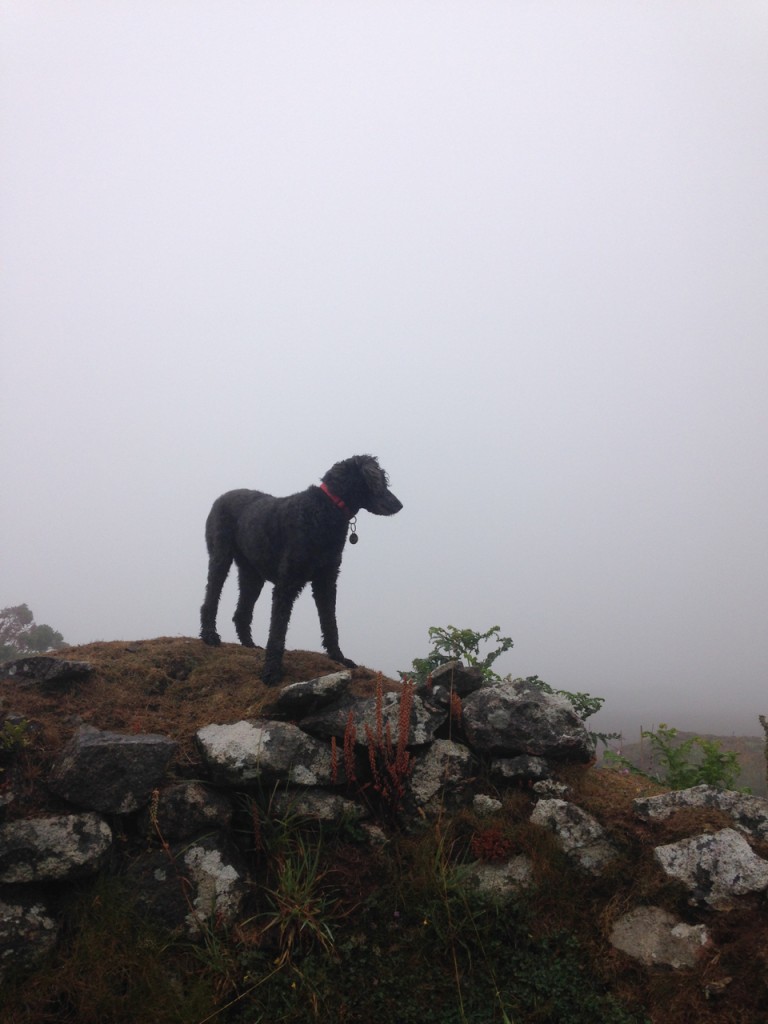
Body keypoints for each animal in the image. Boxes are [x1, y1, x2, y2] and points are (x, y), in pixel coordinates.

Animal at [198, 454, 403, 679]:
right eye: (381, 480)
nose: (399, 505)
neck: (326, 509)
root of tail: (221, 497)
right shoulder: (286, 584)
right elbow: (278, 629)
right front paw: (272, 669)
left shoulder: (326, 581)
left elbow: (330, 623)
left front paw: (339, 657)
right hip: (220, 558)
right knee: (210, 599)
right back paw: (209, 635)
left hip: (252, 575)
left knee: (241, 613)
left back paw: (249, 644)